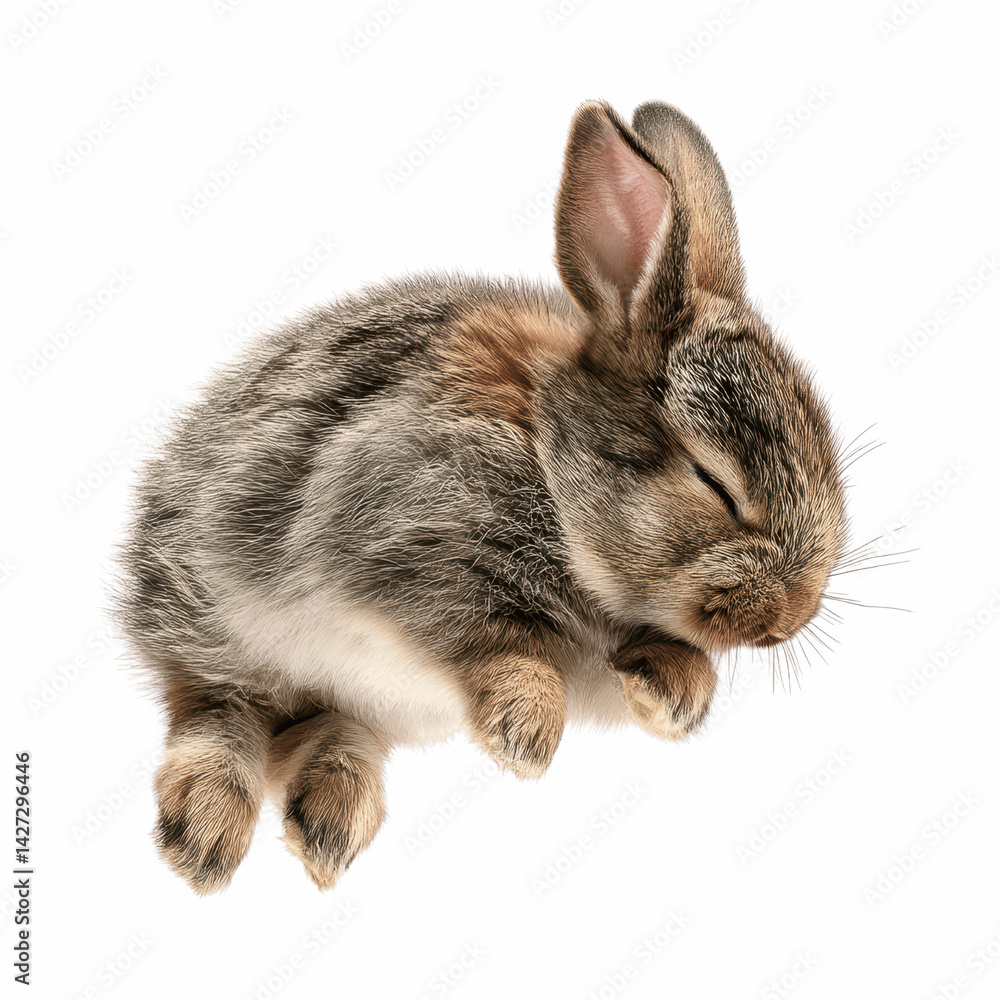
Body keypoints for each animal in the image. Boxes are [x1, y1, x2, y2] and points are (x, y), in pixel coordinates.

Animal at [113, 99, 849, 894]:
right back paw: (205, 835)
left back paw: (328, 822)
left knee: (332, 727)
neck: (552, 464)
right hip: (220, 624)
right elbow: (498, 641)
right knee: (218, 708)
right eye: (713, 483)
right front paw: (524, 736)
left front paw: (671, 695)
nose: (790, 618)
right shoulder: (407, 545)